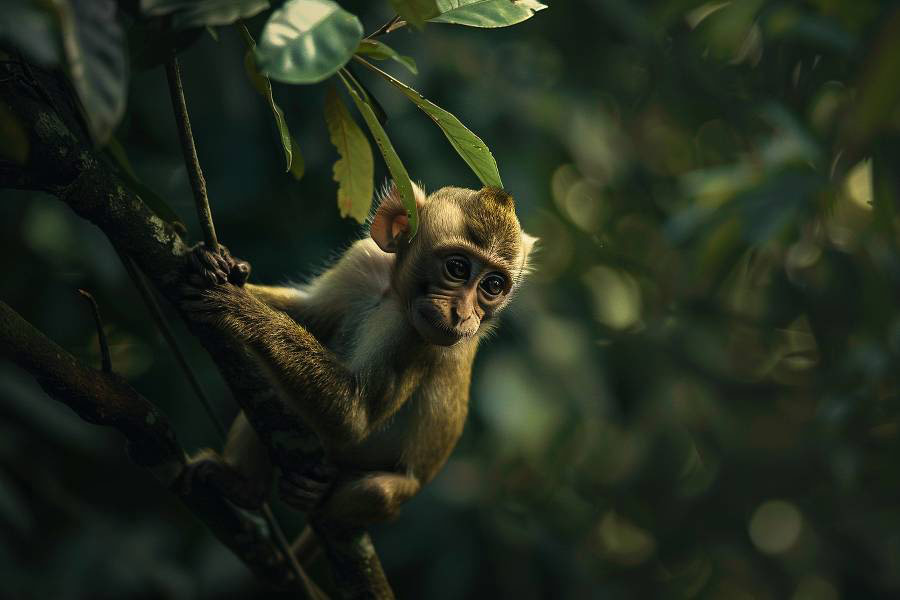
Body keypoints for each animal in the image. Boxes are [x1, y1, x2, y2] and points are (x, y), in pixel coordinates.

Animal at [179, 182, 537, 527]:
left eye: (492, 286)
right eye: (458, 267)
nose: (463, 315)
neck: (392, 293)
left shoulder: (416, 339)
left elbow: (355, 417)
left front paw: (244, 311)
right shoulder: (361, 262)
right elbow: (307, 313)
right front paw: (218, 264)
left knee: (376, 492)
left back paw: (310, 495)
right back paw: (242, 486)